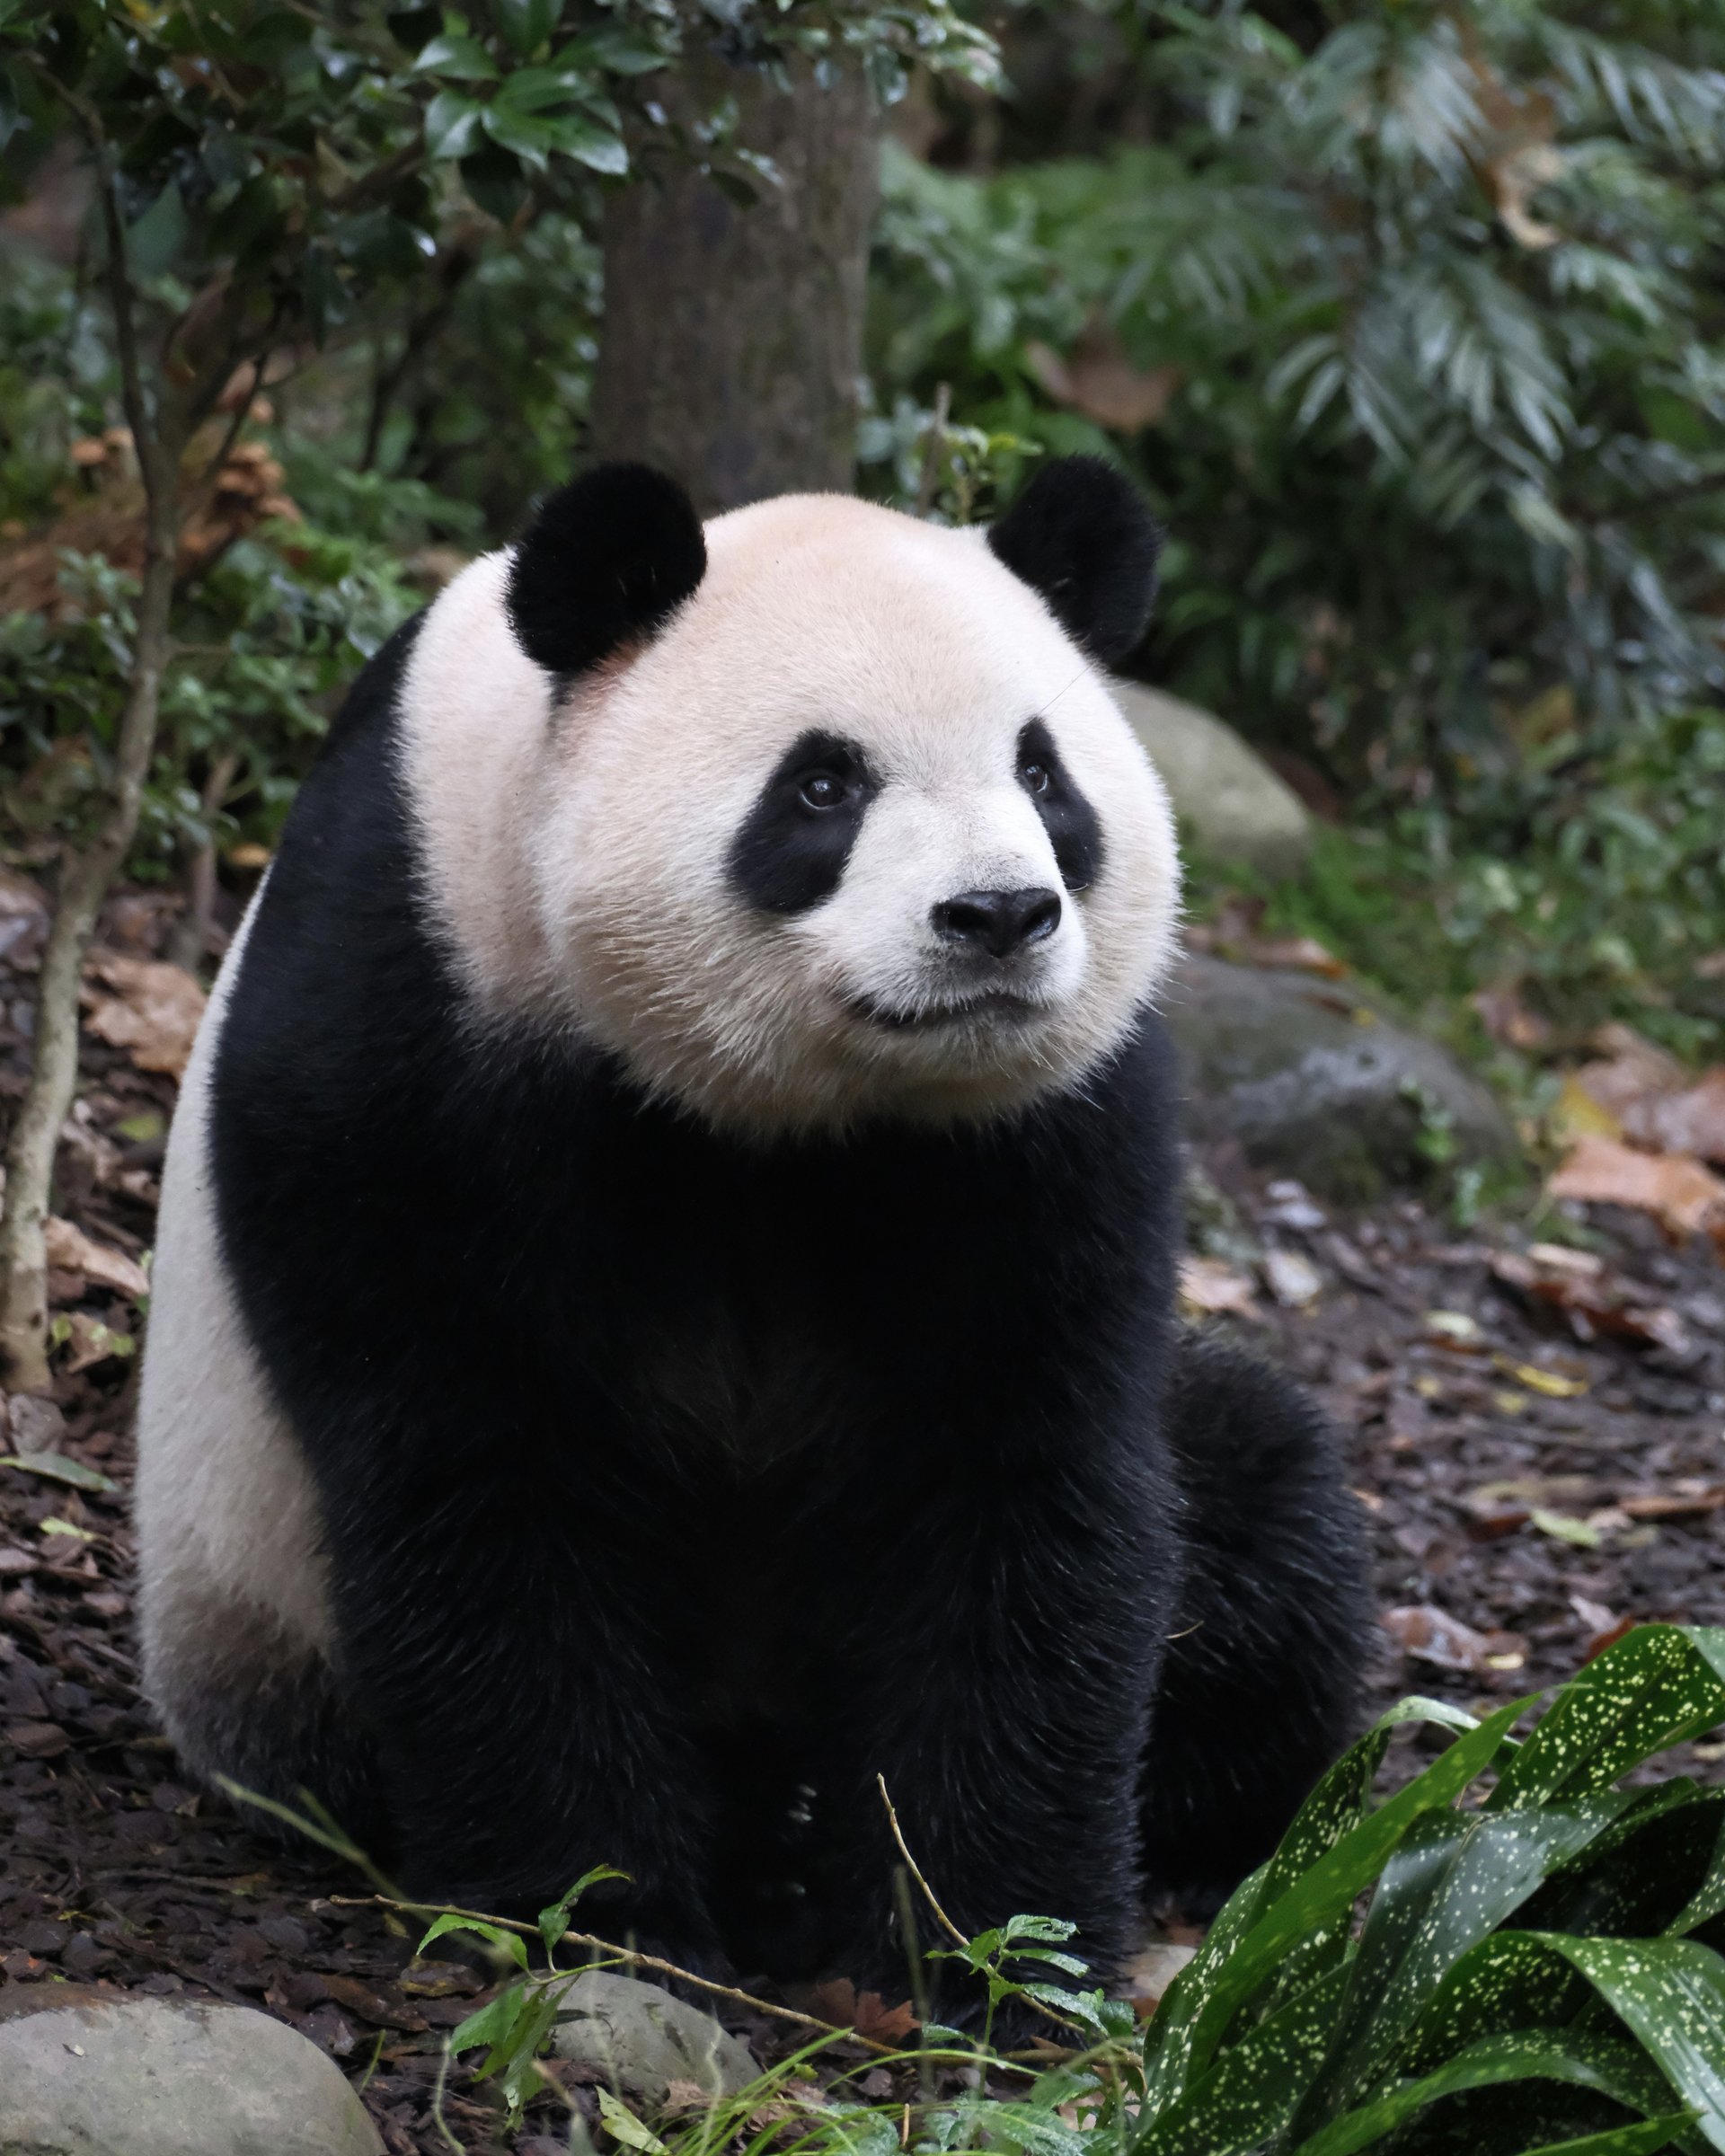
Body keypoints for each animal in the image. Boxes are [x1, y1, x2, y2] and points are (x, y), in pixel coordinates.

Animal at [135, 457, 1368, 2014]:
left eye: (1044, 774)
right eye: (824, 784)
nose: (999, 915)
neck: (788, 1116)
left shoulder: (1040, 1131)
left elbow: (1024, 1481)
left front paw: (980, 1950)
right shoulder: (413, 1022)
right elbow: (486, 1478)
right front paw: (607, 1916)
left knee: (1265, 1498)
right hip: (245, 1600)